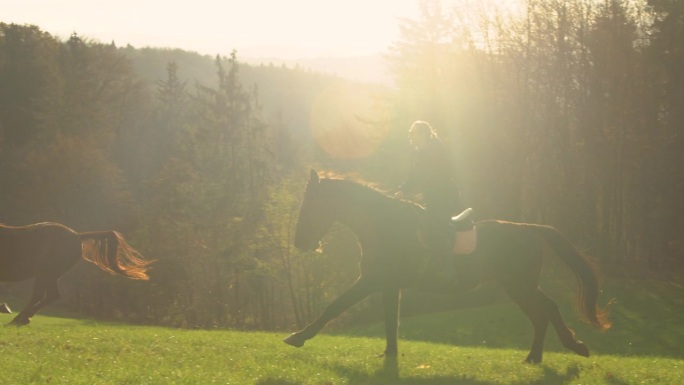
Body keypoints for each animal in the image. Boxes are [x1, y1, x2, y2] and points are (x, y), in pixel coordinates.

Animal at [0, 222, 152, 324]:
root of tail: (78, 236)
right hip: (48, 275)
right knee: (47, 295)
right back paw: (23, 318)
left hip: (47, 274)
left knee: (43, 295)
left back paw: (20, 319)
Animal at [284, 170, 608, 364]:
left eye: (313, 206)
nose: (300, 242)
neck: (385, 226)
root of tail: (529, 229)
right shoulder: (388, 285)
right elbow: (390, 321)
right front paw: (390, 355)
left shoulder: (371, 280)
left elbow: (334, 307)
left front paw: (298, 337)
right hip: (518, 286)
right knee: (542, 313)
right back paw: (537, 356)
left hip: (520, 285)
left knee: (547, 309)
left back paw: (572, 347)